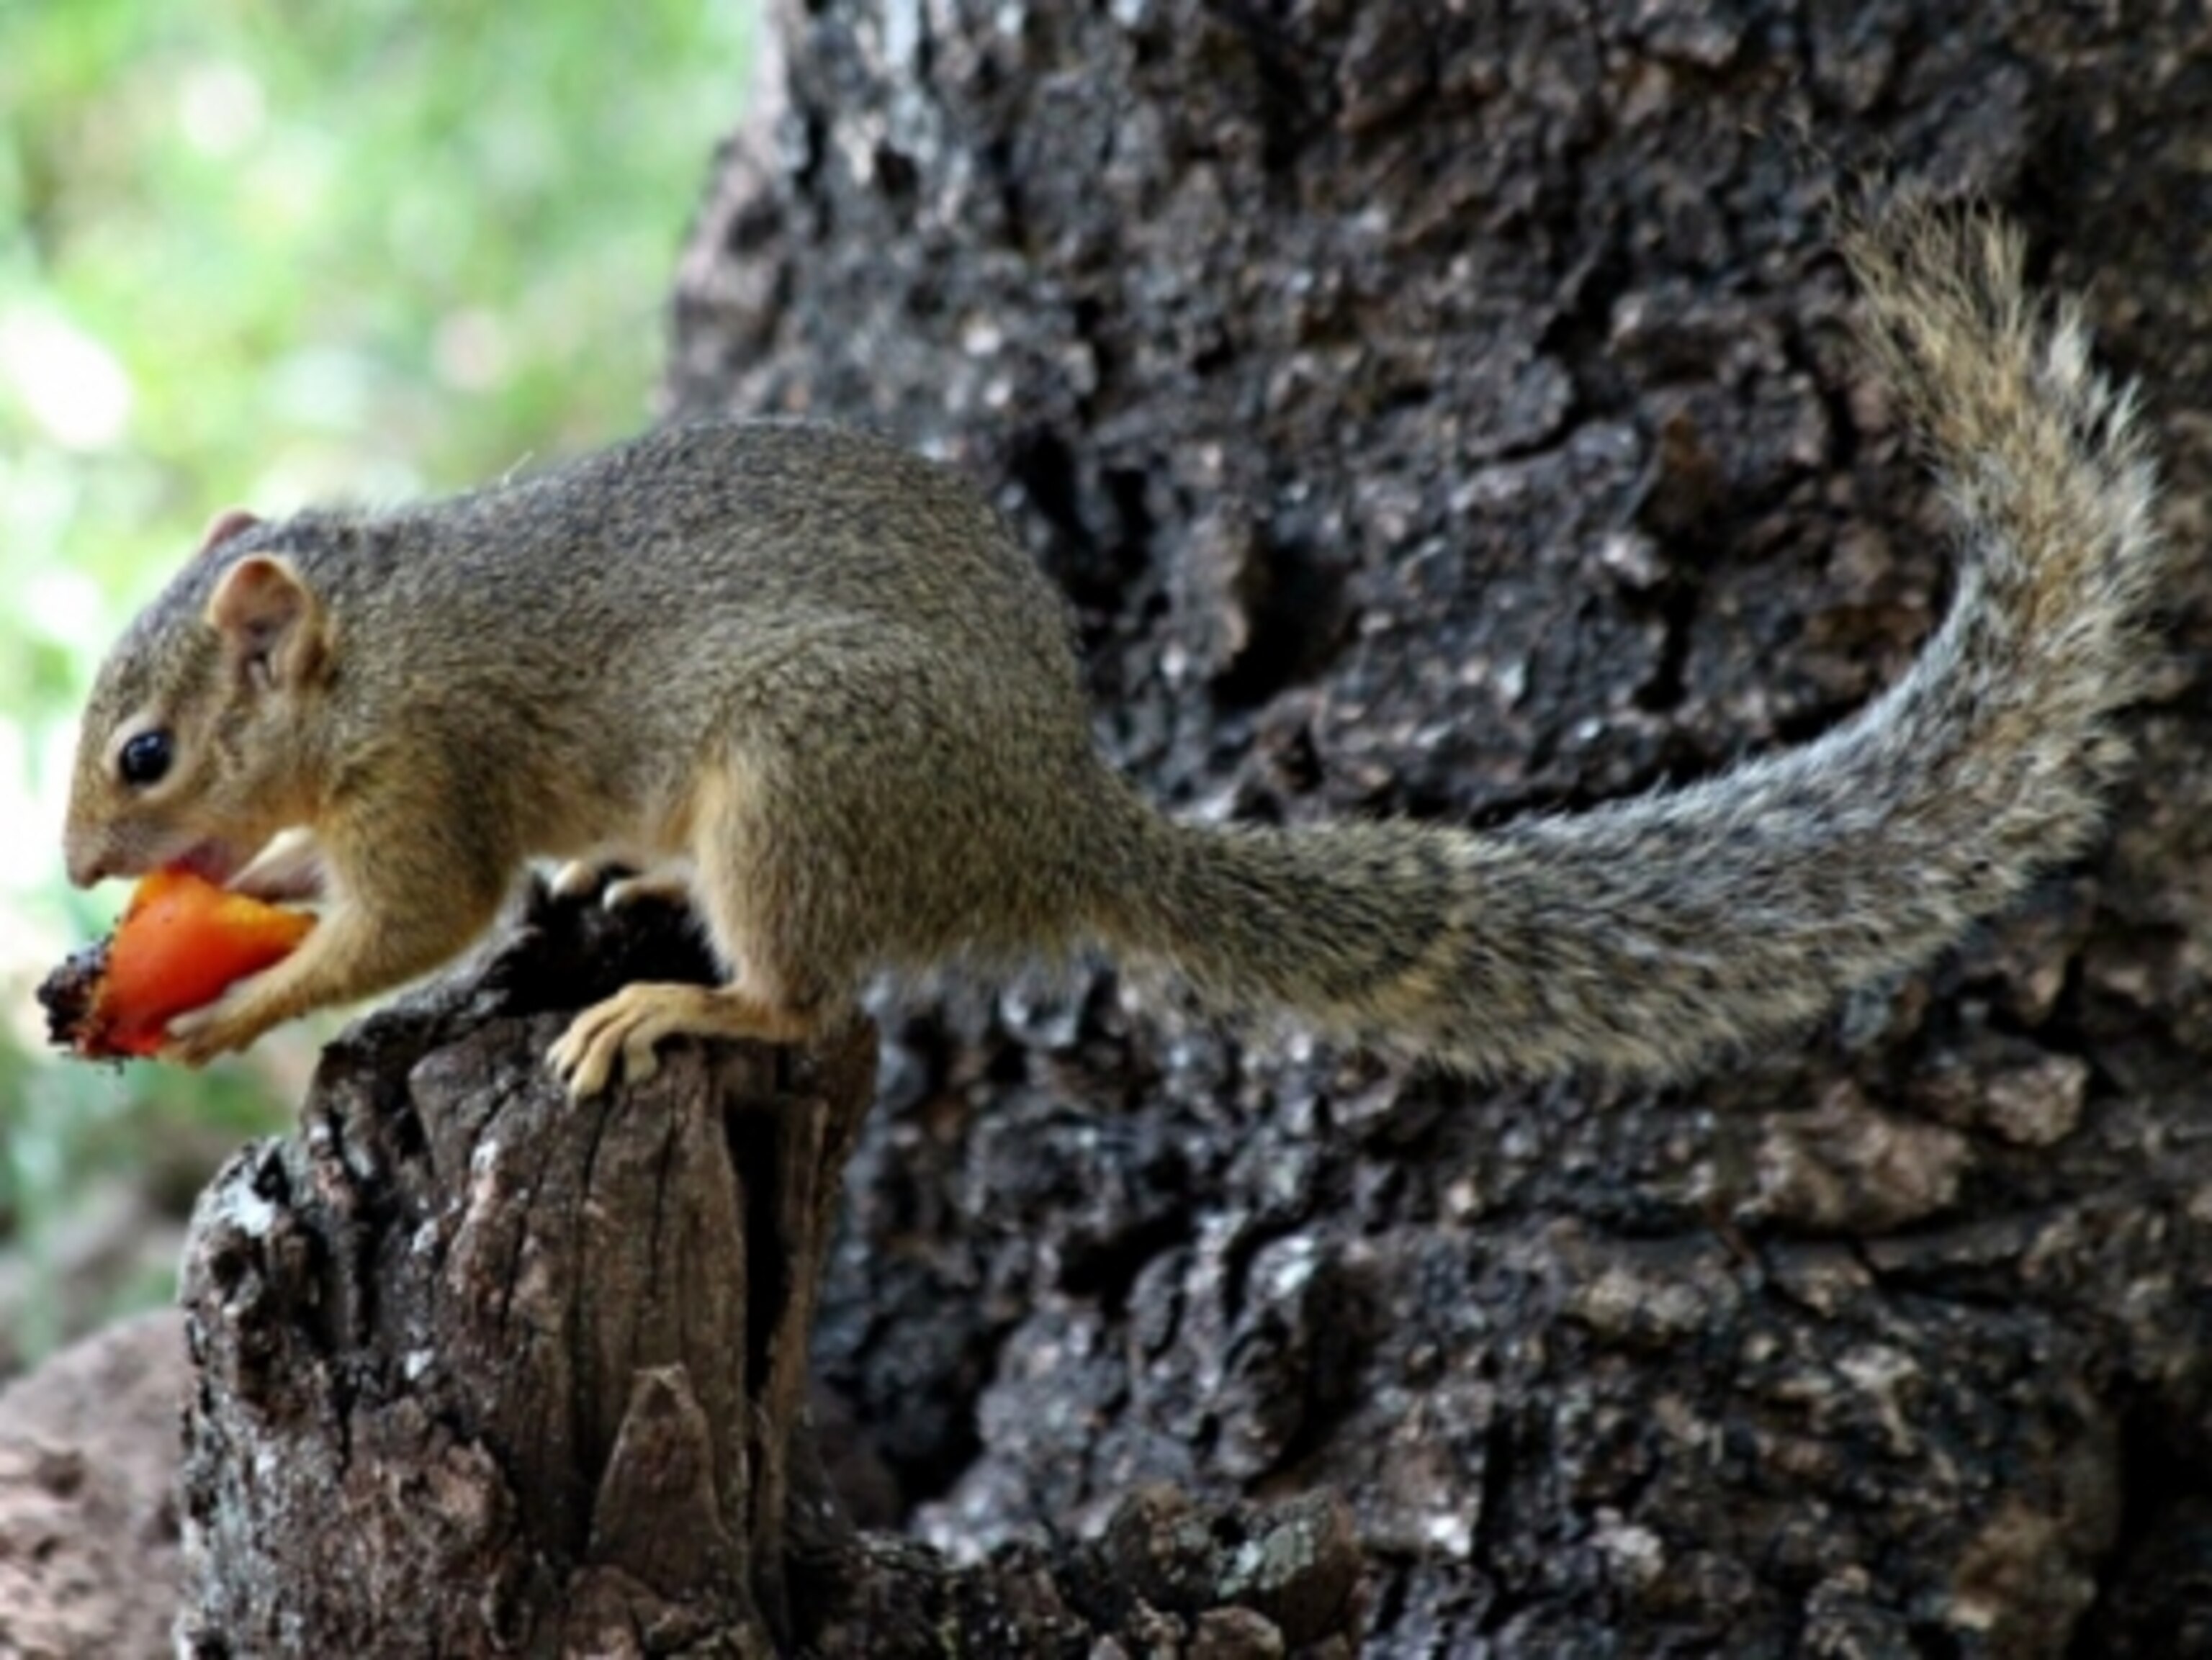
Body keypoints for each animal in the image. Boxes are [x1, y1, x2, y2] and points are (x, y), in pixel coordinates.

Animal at [61, 207, 2166, 1098]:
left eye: (143, 750)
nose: (82, 867)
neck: (370, 643)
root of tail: (1051, 827)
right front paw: (175, 934)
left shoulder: (430, 772)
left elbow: (415, 925)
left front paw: (221, 1008)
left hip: (798, 777)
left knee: (814, 1005)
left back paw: (683, 1006)